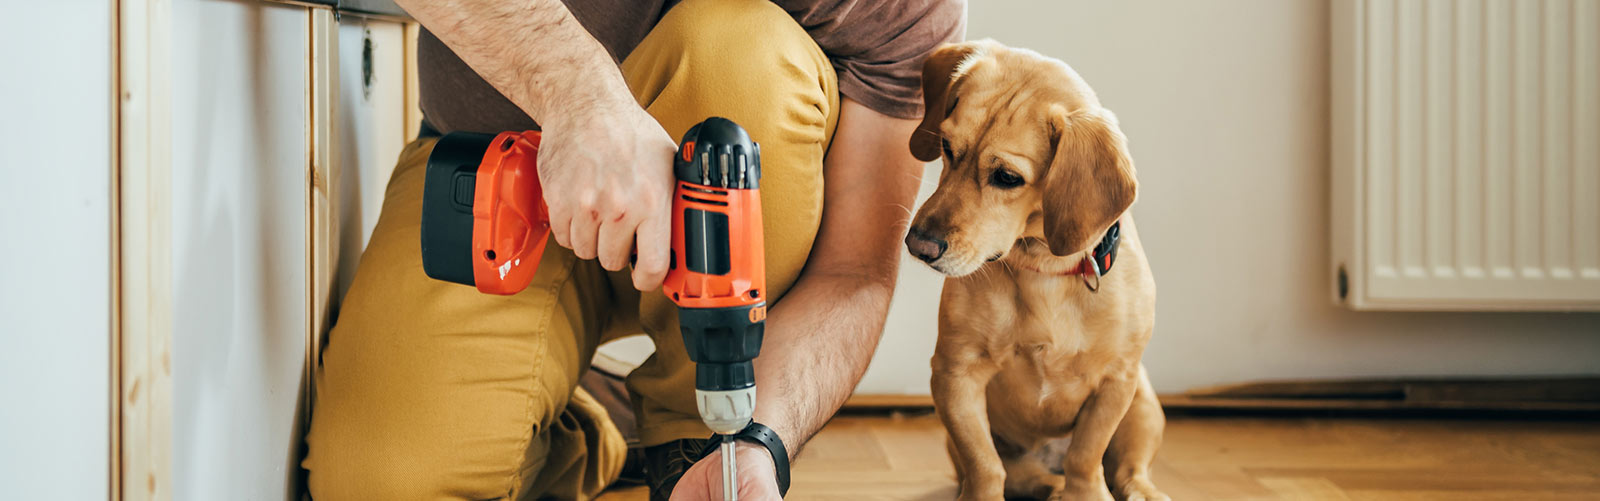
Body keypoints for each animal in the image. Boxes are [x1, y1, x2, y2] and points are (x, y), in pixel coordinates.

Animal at [908, 40, 1171, 499]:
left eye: (1007, 177)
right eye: (946, 146)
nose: (918, 244)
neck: (1042, 269)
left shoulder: (1116, 383)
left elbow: (1086, 457)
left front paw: (1086, 494)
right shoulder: (955, 374)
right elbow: (984, 466)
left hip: (1143, 403)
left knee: (1129, 470)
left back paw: (1141, 491)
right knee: (1027, 476)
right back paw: (1048, 486)